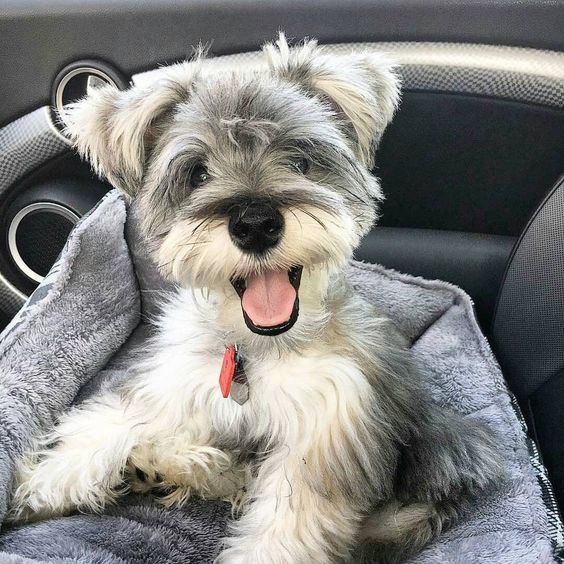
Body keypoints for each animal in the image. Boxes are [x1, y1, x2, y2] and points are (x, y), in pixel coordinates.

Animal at [7, 36, 502, 564]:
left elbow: (285, 528)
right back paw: (165, 463)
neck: (255, 349)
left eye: (301, 161)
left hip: (438, 457)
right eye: (198, 173)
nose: (255, 223)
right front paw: (45, 481)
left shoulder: (324, 434)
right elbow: (111, 418)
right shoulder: (173, 379)